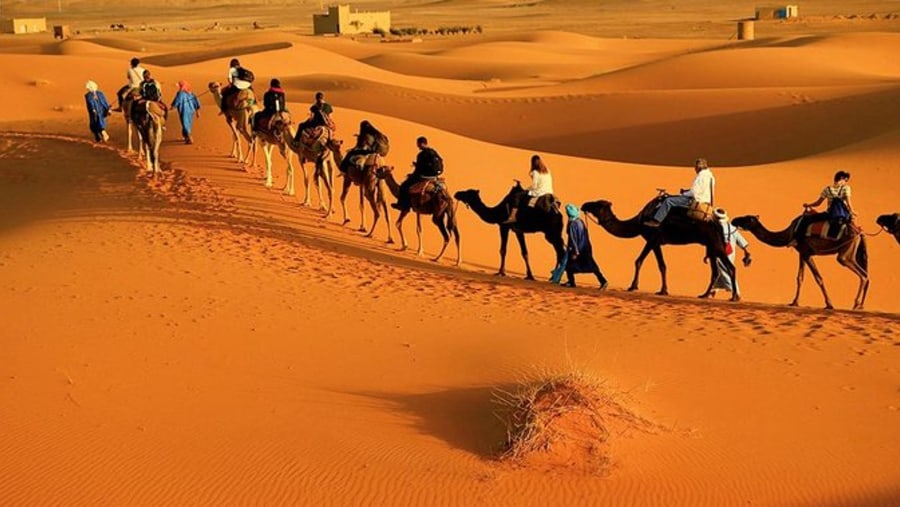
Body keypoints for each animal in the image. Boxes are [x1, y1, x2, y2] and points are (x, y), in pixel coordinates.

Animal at [580, 197, 736, 302]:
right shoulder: (657, 242)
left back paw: (734, 297)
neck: (639, 221)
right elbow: (661, 265)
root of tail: (717, 222)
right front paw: (663, 290)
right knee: (715, 272)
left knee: (730, 267)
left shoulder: (652, 238)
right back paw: (704, 295)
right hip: (711, 246)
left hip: (715, 244)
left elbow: (641, 261)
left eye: (597, 204)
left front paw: (633, 286)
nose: (584, 204)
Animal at [736, 213, 868, 310]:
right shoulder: (803, 253)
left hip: (846, 252)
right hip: (851, 251)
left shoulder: (806, 252)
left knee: (862, 274)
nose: (734, 220)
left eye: (747, 219)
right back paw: (861, 305)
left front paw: (829, 304)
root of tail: (859, 232)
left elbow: (818, 278)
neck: (790, 233)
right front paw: (794, 302)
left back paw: (856, 303)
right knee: (865, 274)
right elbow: (800, 278)